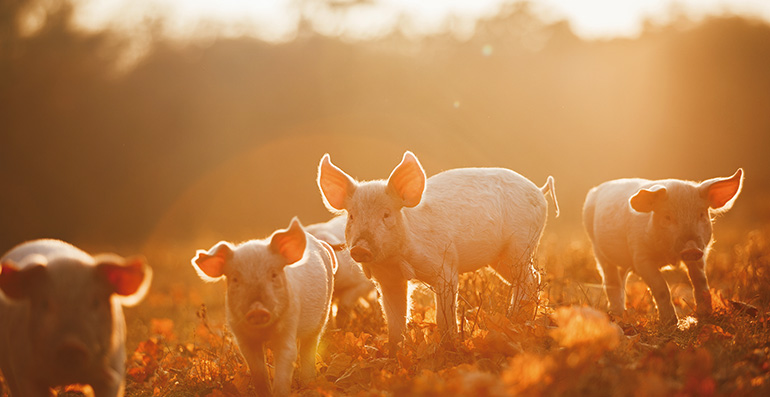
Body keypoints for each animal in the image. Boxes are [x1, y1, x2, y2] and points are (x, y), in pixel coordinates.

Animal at [190, 217, 334, 396]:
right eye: (235, 279)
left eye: (273, 274)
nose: (257, 309)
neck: (263, 332)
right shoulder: (242, 337)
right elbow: (258, 371)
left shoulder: (289, 325)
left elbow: (287, 360)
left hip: (322, 317)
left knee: (309, 347)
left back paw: (310, 384)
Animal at [316, 152, 556, 352]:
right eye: (352, 216)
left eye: (386, 214)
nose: (360, 248)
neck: (396, 259)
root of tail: (539, 190)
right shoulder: (388, 281)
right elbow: (394, 321)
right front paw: (394, 354)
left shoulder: (445, 268)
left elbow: (443, 316)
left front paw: (448, 347)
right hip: (501, 259)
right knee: (529, 278)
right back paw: (515, 318)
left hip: (521, 245)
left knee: (530, 279)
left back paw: (518, 321)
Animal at [584, 168, 744, 324]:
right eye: (667, 217)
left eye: (701, 214)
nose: (691, 248)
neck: (668, 257)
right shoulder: (640, 257)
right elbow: (661, 287)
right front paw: (671, 323)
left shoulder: (700, 253)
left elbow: (700, 281)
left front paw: (705, 315)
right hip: (598, 250)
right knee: (610, 281)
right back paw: (616, 316)